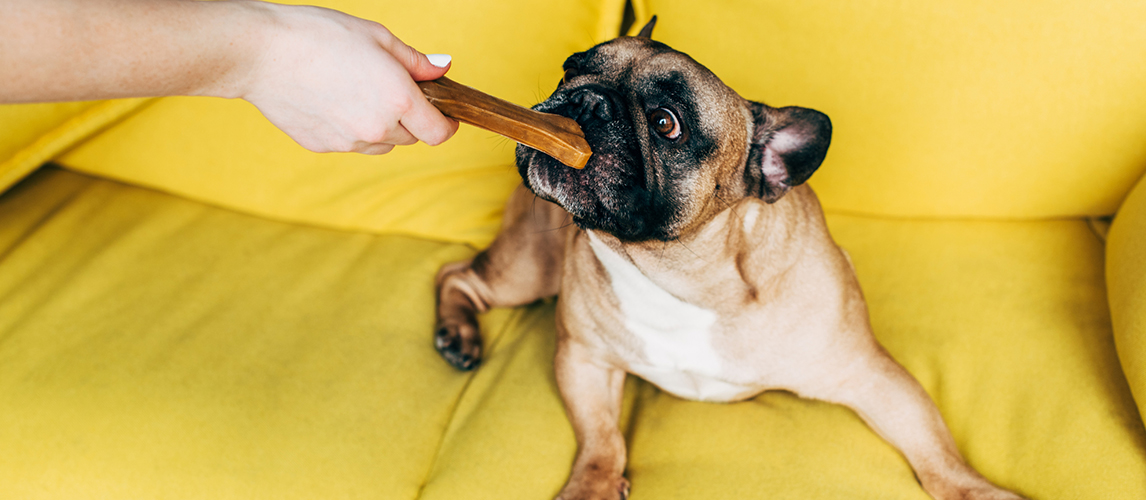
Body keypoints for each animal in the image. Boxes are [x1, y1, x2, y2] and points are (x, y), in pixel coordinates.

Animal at [433, 18, 1026, 499]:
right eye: (568, 70)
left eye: (666, 123)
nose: (583, 99)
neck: (681, 277)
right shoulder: (584, 359)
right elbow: (600, 438)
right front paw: (591, 488)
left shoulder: (870, 376)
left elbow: (939, 455)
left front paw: (979, 492)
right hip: (529, 268)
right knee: (457, 274)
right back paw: (457, 335)